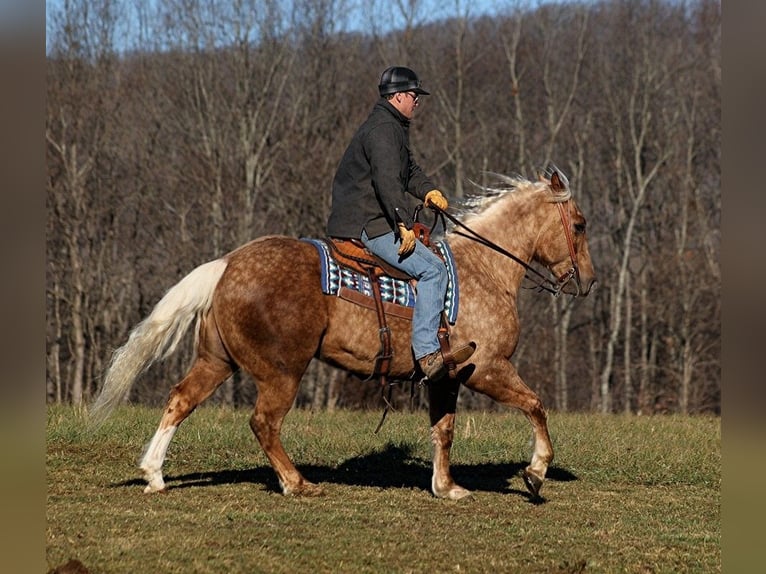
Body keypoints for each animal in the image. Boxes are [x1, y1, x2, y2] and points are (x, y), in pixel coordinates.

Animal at [91, 165, 600, 500]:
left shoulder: (447, 376)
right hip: (281, 372)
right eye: (579, 224)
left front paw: (446, 487)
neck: (485, 270)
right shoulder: (487, 368)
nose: (589, 281)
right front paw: (536, 473)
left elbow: (444, 430)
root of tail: (228, 263)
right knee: (264, 422)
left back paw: (154, 475)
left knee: (180, 400)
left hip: (217, 361)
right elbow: (535, 405)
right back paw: (296, 483)